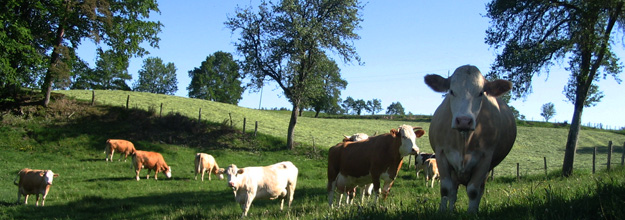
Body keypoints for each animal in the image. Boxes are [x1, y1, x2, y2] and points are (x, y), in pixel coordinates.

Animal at [424, 64, 516, 212]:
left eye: (481, 93)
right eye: (451, 91)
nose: (463, 121)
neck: (464, 141)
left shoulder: (485, 158)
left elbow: (473, 191)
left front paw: (471, 213)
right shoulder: (441, 154)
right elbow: (445, 189)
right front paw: (443, 211)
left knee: (480, 190)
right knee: (453, 191)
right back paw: (451, 210)